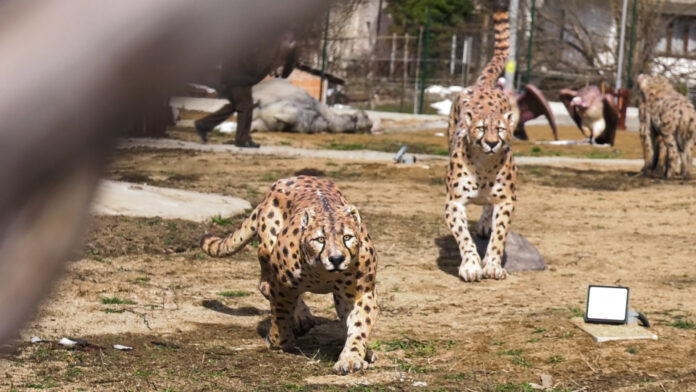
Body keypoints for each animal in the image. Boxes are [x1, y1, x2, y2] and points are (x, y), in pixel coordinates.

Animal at [198, 175, 378, 374]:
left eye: (347, 237)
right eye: (320, 239)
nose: (336, 259)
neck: (322, 273)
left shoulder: (360, 293)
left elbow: (359, 326)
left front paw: (352, 358)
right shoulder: (281, 285)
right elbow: (281, 312)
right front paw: (279, 340)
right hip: (267, 248)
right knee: (265, 286)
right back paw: (301, 319)